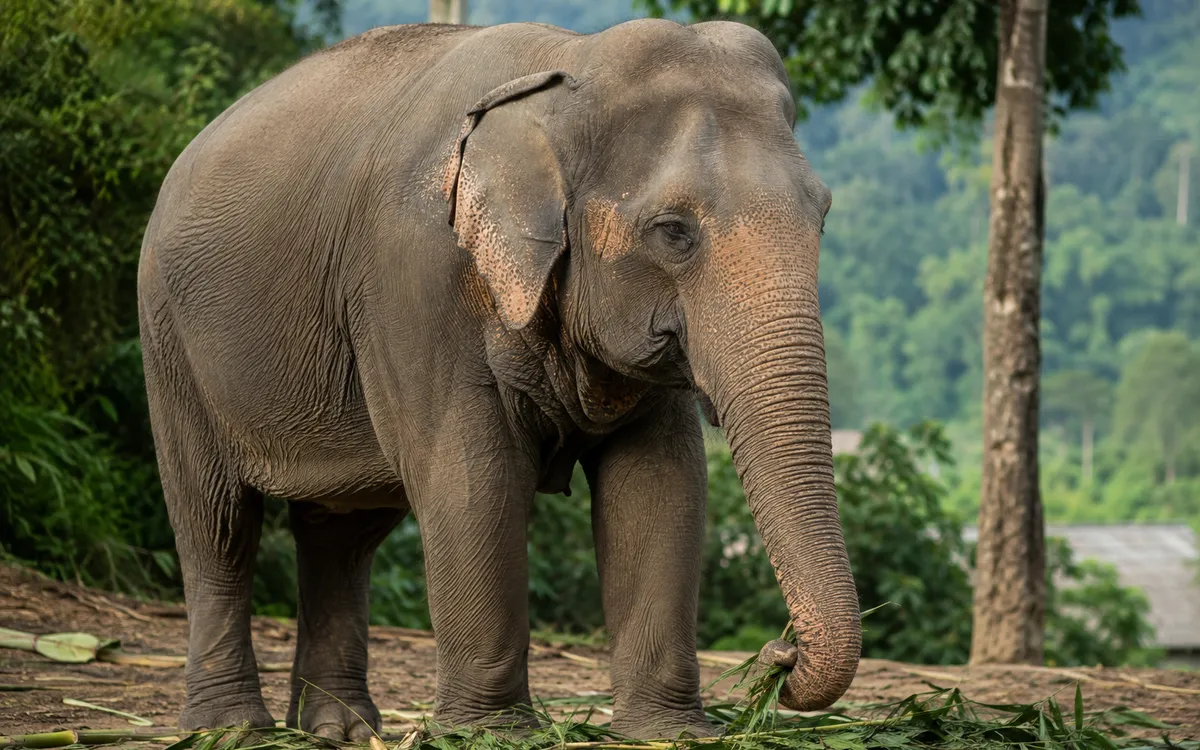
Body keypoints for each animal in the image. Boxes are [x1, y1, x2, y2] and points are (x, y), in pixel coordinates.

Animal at [136, 16, 860, 742]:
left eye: (824, 215)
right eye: (673, 231)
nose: (778, 654)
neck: (568, 68)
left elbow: (662, 482)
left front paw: (667, 733)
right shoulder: (414, 280)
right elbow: (471, 477)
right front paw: (489, 733)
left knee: (341, 536)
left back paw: (344, 730)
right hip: (169, 339)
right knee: (217, 524)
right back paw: (229, 728)